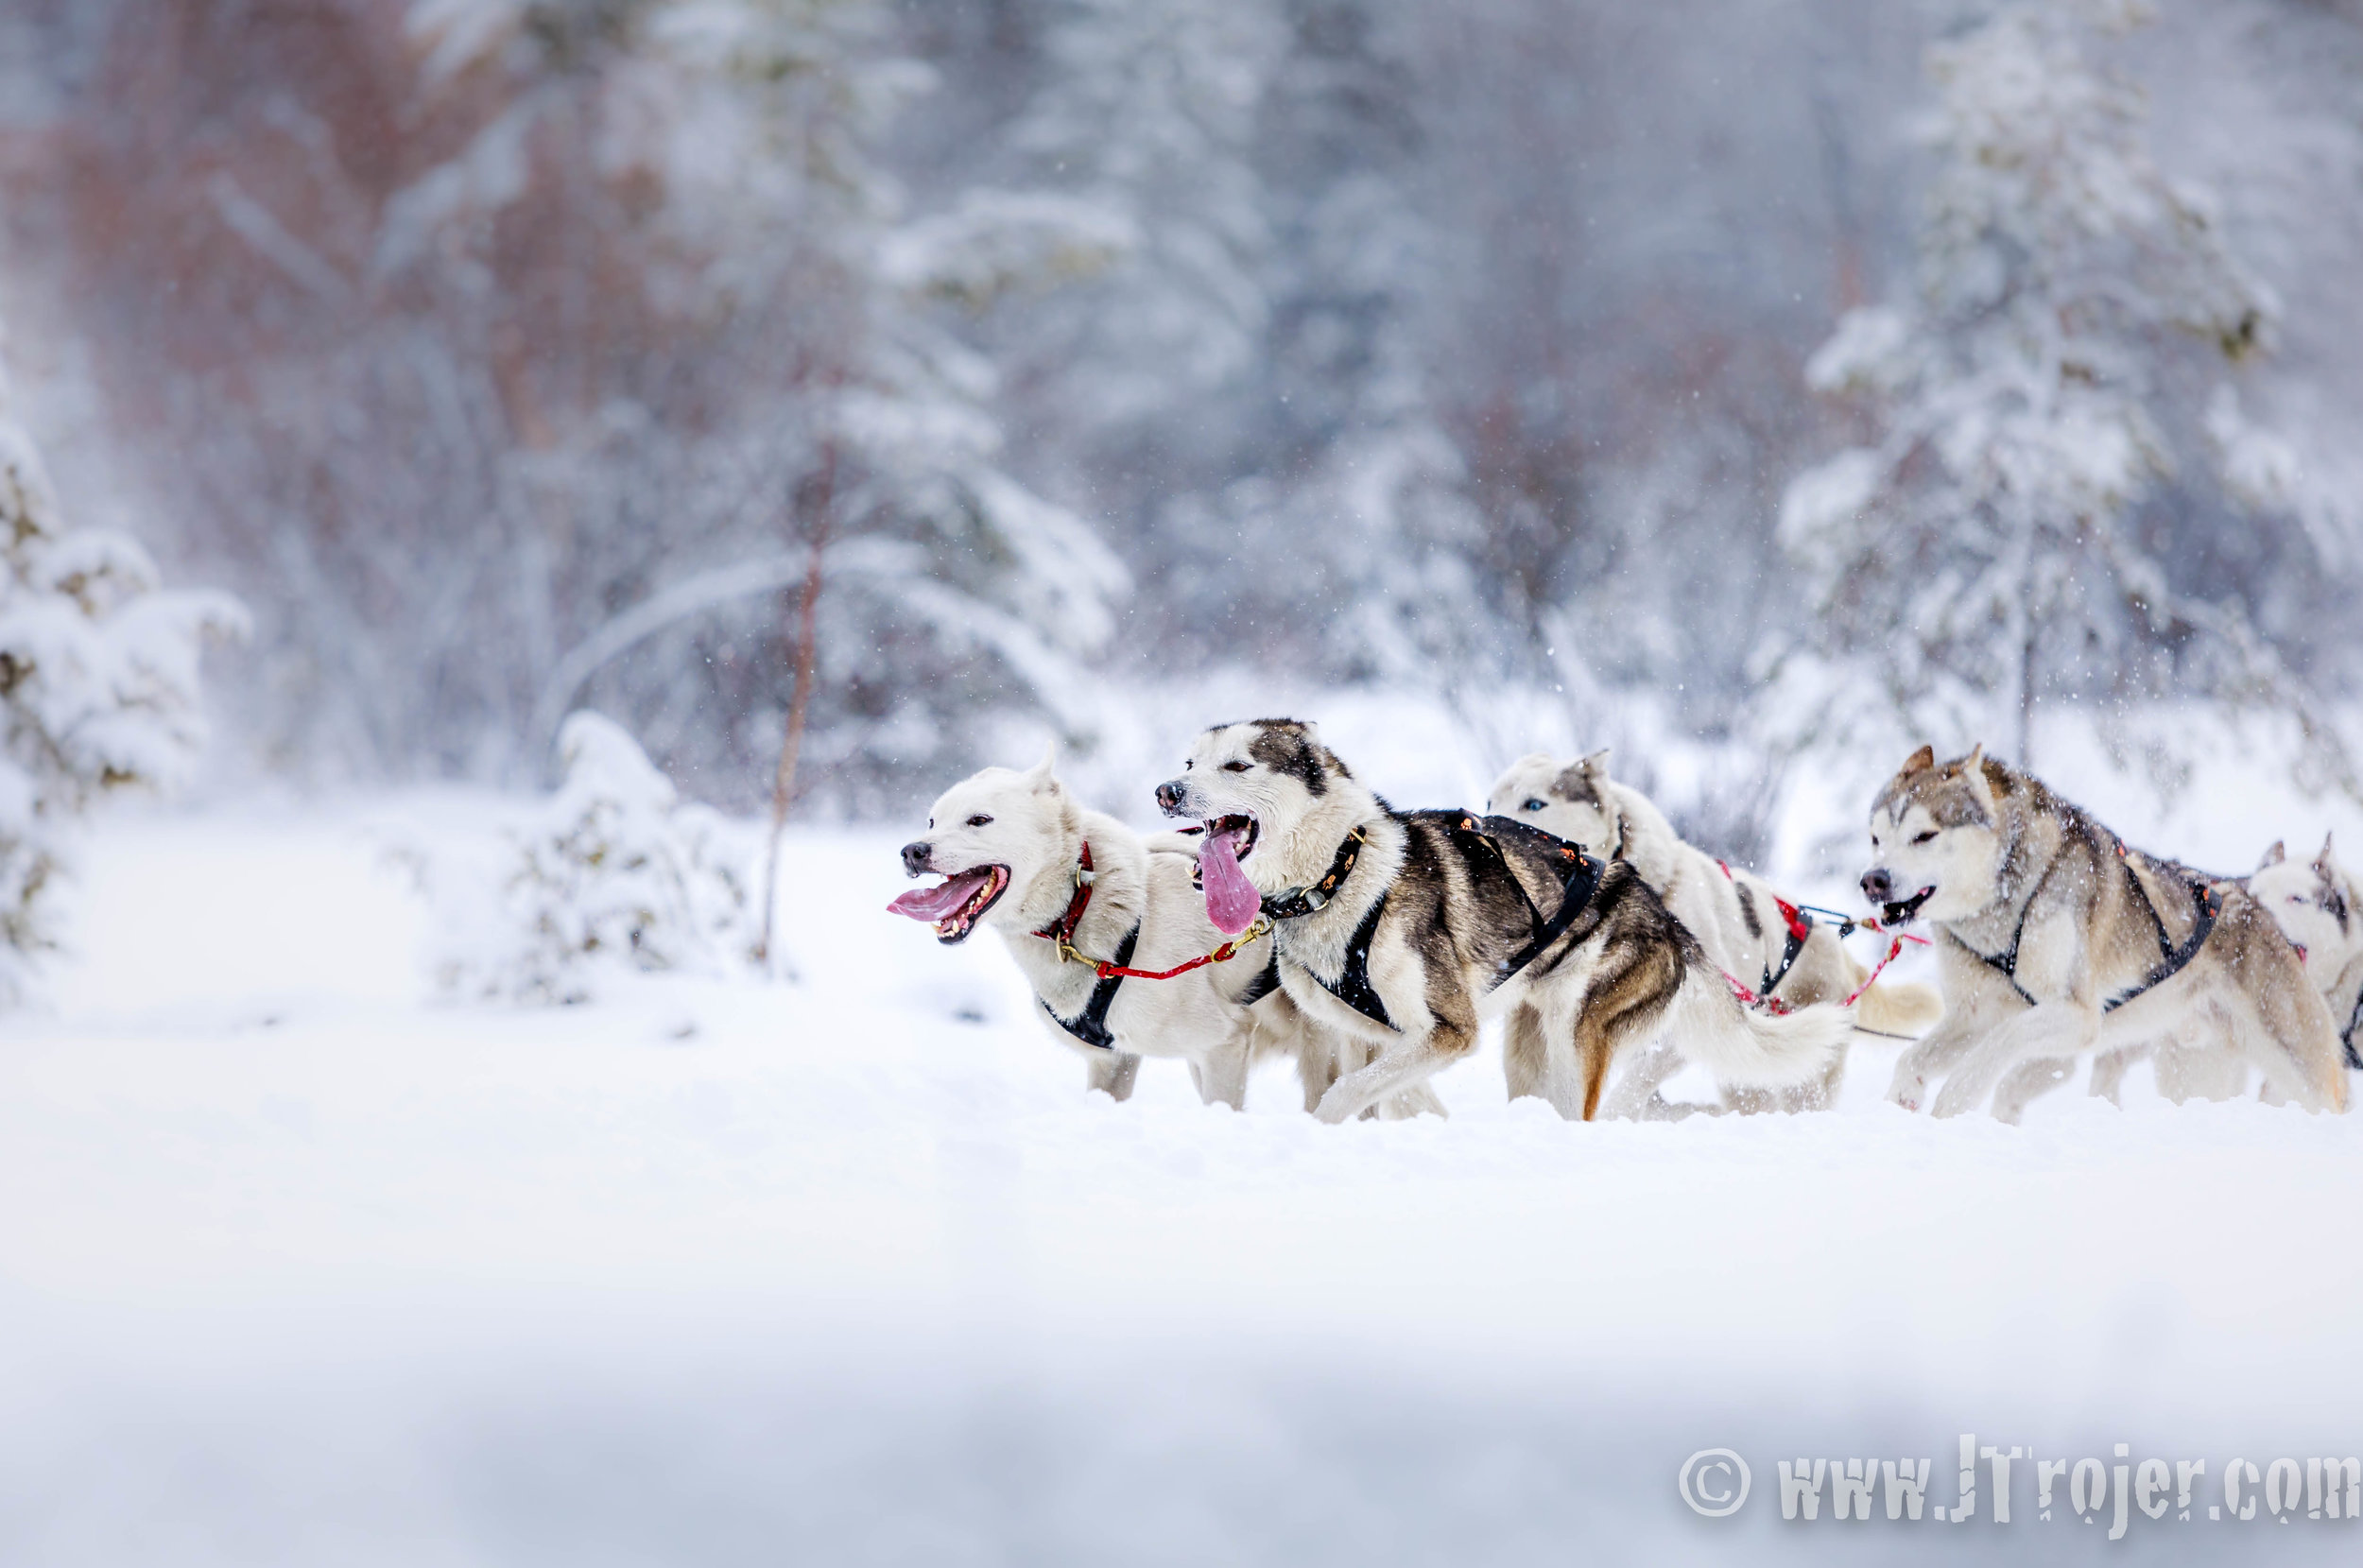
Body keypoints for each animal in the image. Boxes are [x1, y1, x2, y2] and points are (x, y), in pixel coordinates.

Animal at [888, 750, 1427, 1110]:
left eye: (979, 820)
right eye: (932, 820)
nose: (912, 850)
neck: (1081, 906)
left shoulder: (1222, 1044)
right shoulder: (1112, 1063)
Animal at [1153, 717, 1853, 1119]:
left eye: (1238, 764)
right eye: (1188, 763)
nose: (1166, 790)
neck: (1340, 873)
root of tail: (1662, 911)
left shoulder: (1448, 1031)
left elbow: (1342, 1097)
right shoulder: (1363, 1035)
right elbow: (1375, 1091)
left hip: (1580, 1038)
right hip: (1532, 1041)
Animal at [1493, 755, 1938, 1110]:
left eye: (1534, 803)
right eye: (1490, 802)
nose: (1495, 825)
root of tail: (1841, 952)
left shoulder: (1678, 1035)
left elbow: (1628, 1091)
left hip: (1794, 1072)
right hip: (1744, 1075)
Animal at [1862, 746, 2344, 1119]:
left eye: (1924, 835)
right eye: (1876, 838)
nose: (1872, 880)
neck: (2004, 902)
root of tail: (2256, 902)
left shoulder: (2075, 1015)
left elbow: (2000, 1044)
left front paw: (1955, 1098)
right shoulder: (1977, 1015)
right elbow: (1912, 1054)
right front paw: (1905, 1092)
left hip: (2301, 1069)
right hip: (2190, 1071)